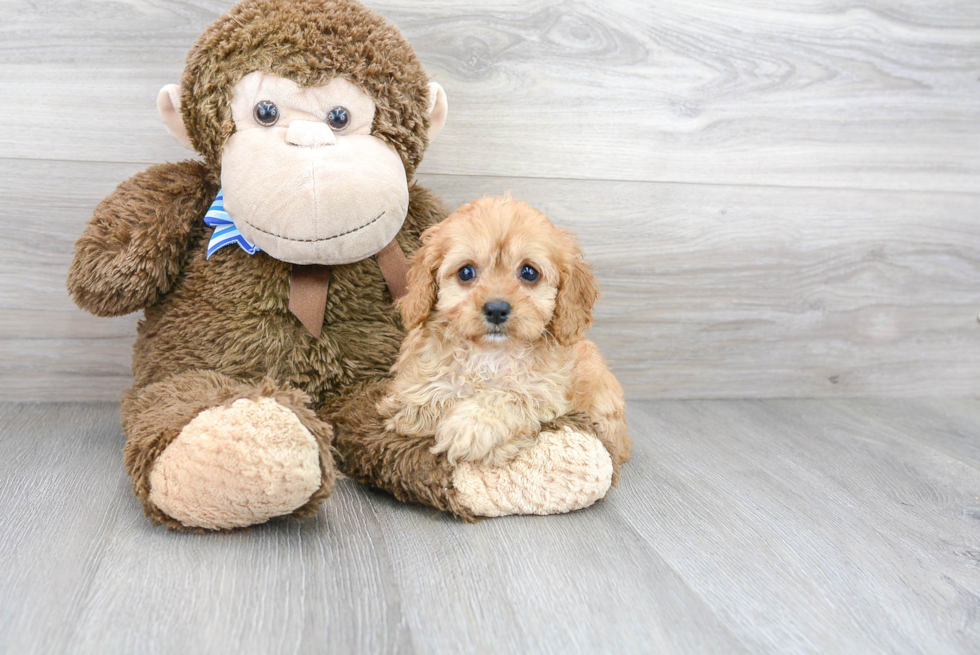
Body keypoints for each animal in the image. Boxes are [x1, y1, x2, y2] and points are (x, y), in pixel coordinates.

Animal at [378, 196, 632, 472]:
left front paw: (471, 428)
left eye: (529, 272)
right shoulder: (411, 384)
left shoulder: (546, 391)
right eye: (465, 272)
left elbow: (509, 396)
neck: (490, 353)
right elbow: (422, 395)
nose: (497, 310)